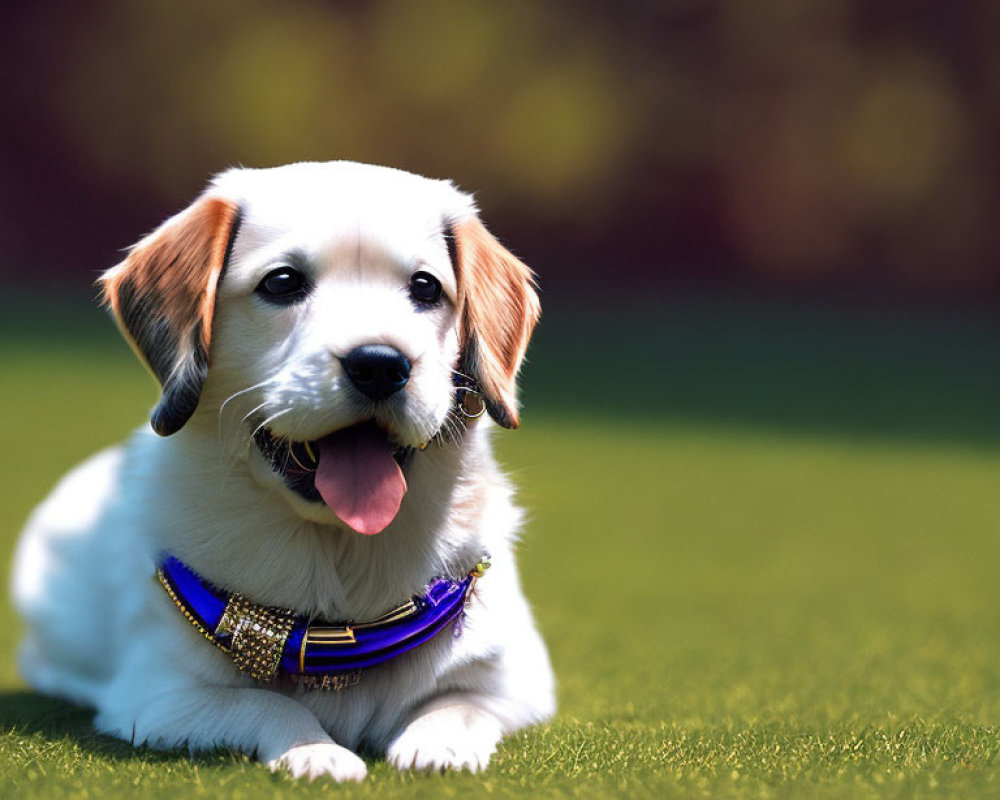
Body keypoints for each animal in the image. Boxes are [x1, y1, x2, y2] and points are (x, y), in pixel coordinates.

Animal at [11, 159, 556, 780]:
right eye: (281, 282)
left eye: (425, 287)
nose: (379, 364)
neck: (338, 557)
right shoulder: (157, 695)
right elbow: (263, 703)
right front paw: (314, 749)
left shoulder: (521, 682)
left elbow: (462, 702)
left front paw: (438, 744)